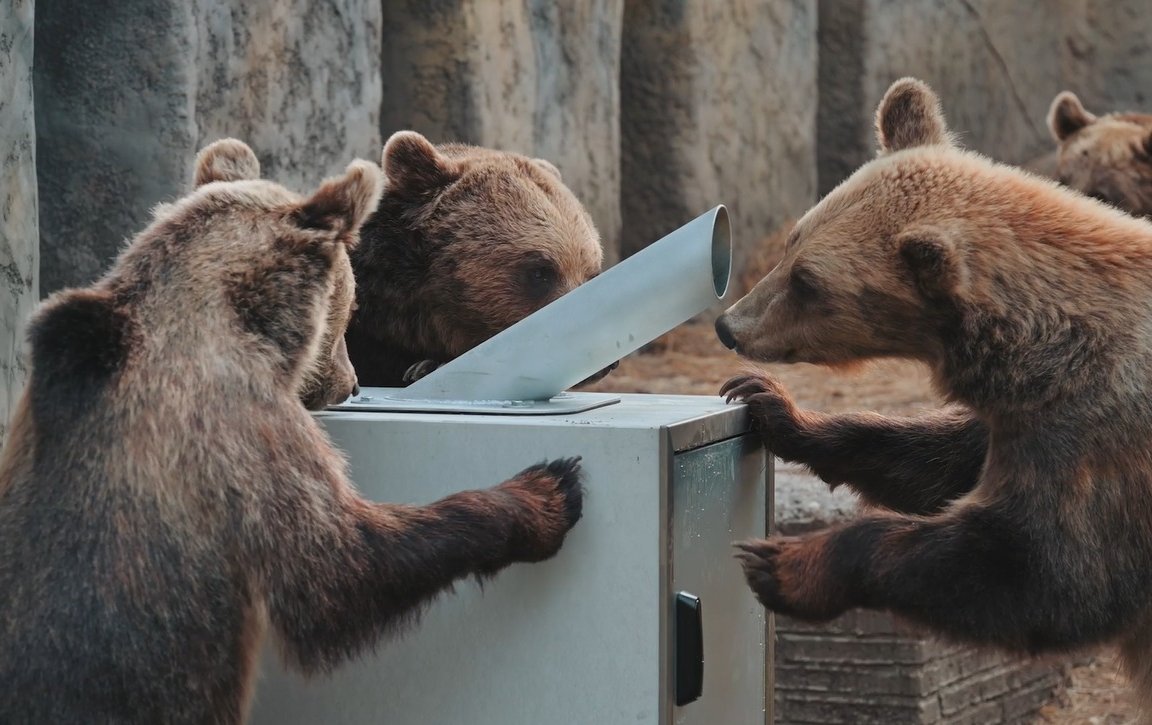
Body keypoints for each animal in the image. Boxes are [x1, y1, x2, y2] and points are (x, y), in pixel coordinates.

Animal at [2, 138, 585, 719]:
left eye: (589, 265)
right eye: (539, 270)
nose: (350, 383)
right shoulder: (243, 435)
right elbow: (340, 570)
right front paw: (547, 490)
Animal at [709, 77, 1152, 714]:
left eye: (808, 282)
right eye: (794, 240)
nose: (730, 326)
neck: (1043, 349)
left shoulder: (1104, 434)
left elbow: (1046, 574)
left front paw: (785, 563)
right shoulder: (1022, 419)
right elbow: (938, 459)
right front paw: (772, 406)